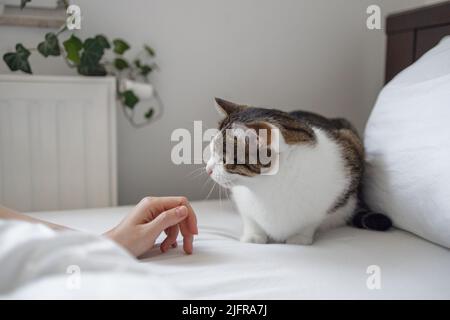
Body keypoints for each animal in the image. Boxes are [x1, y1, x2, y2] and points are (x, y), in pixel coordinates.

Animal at [206, 97, 392, 245]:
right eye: (212, 150)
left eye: (224, 158)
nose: (207, 169)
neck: (267, 186)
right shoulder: (241, 198)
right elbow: (250, 218)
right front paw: (253, 237)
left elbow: (311, 220)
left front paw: (300, 238)